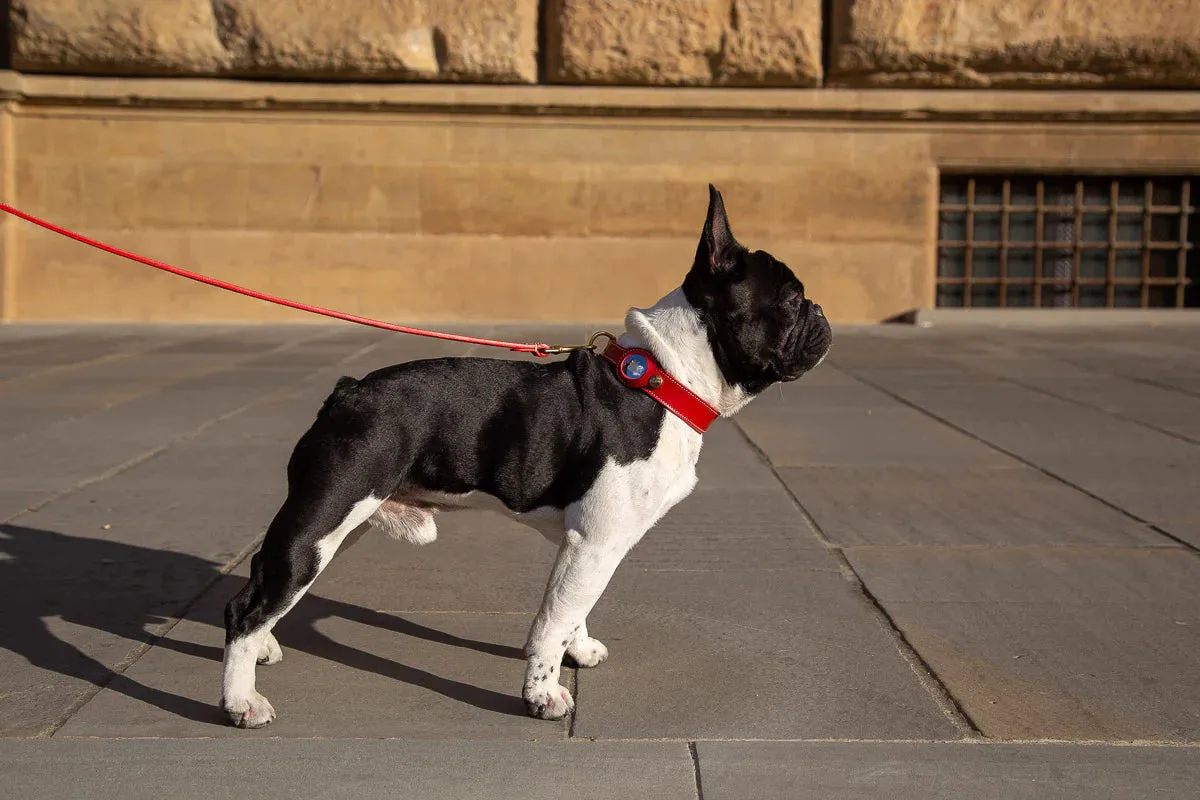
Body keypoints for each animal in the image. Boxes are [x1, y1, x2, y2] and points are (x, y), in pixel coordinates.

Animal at [220, 185, 830, 724]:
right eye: (791, 298)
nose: (821, 311)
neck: (666, 381)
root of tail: (347, 391)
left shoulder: (589, 548)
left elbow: (575, 608)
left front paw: (578, 651)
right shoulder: (597, 540)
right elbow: (550, 623)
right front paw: (542, 694)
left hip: (346, 521)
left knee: (267, 586)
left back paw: (262, 651)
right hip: (325, 517)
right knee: (248, 606)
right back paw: (240, 700)